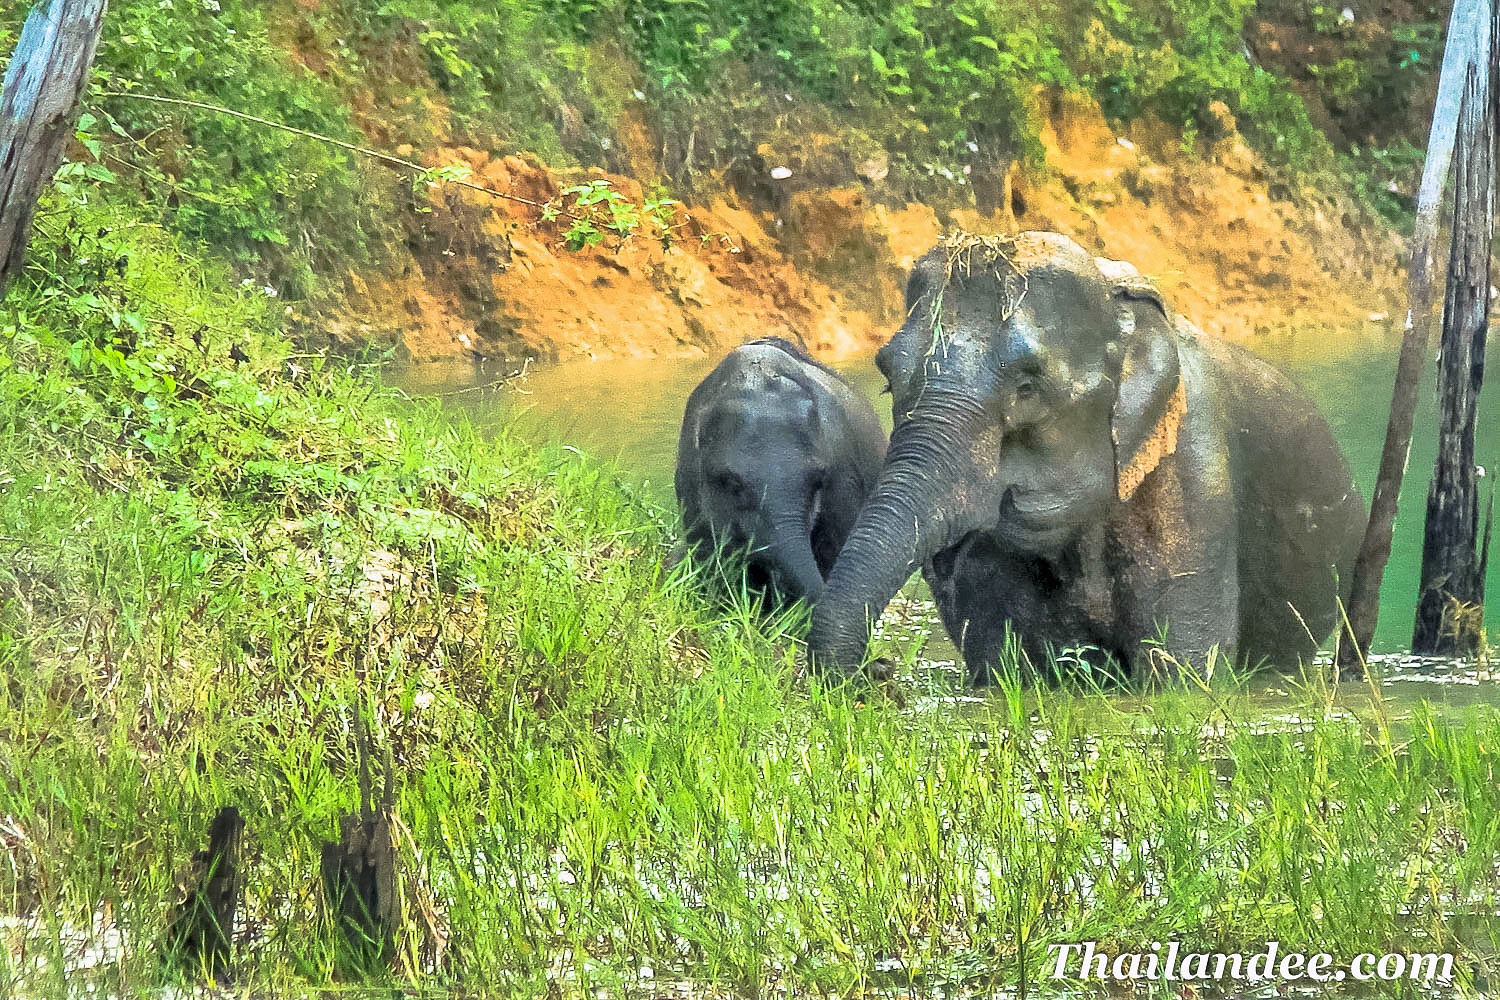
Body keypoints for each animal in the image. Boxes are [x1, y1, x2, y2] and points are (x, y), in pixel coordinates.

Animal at [816, 235, 1368, 680]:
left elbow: (1182, 671)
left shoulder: (1194, 473)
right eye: (888, 375)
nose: (878, 672)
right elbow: (1004, 665)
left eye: (1028, 385)